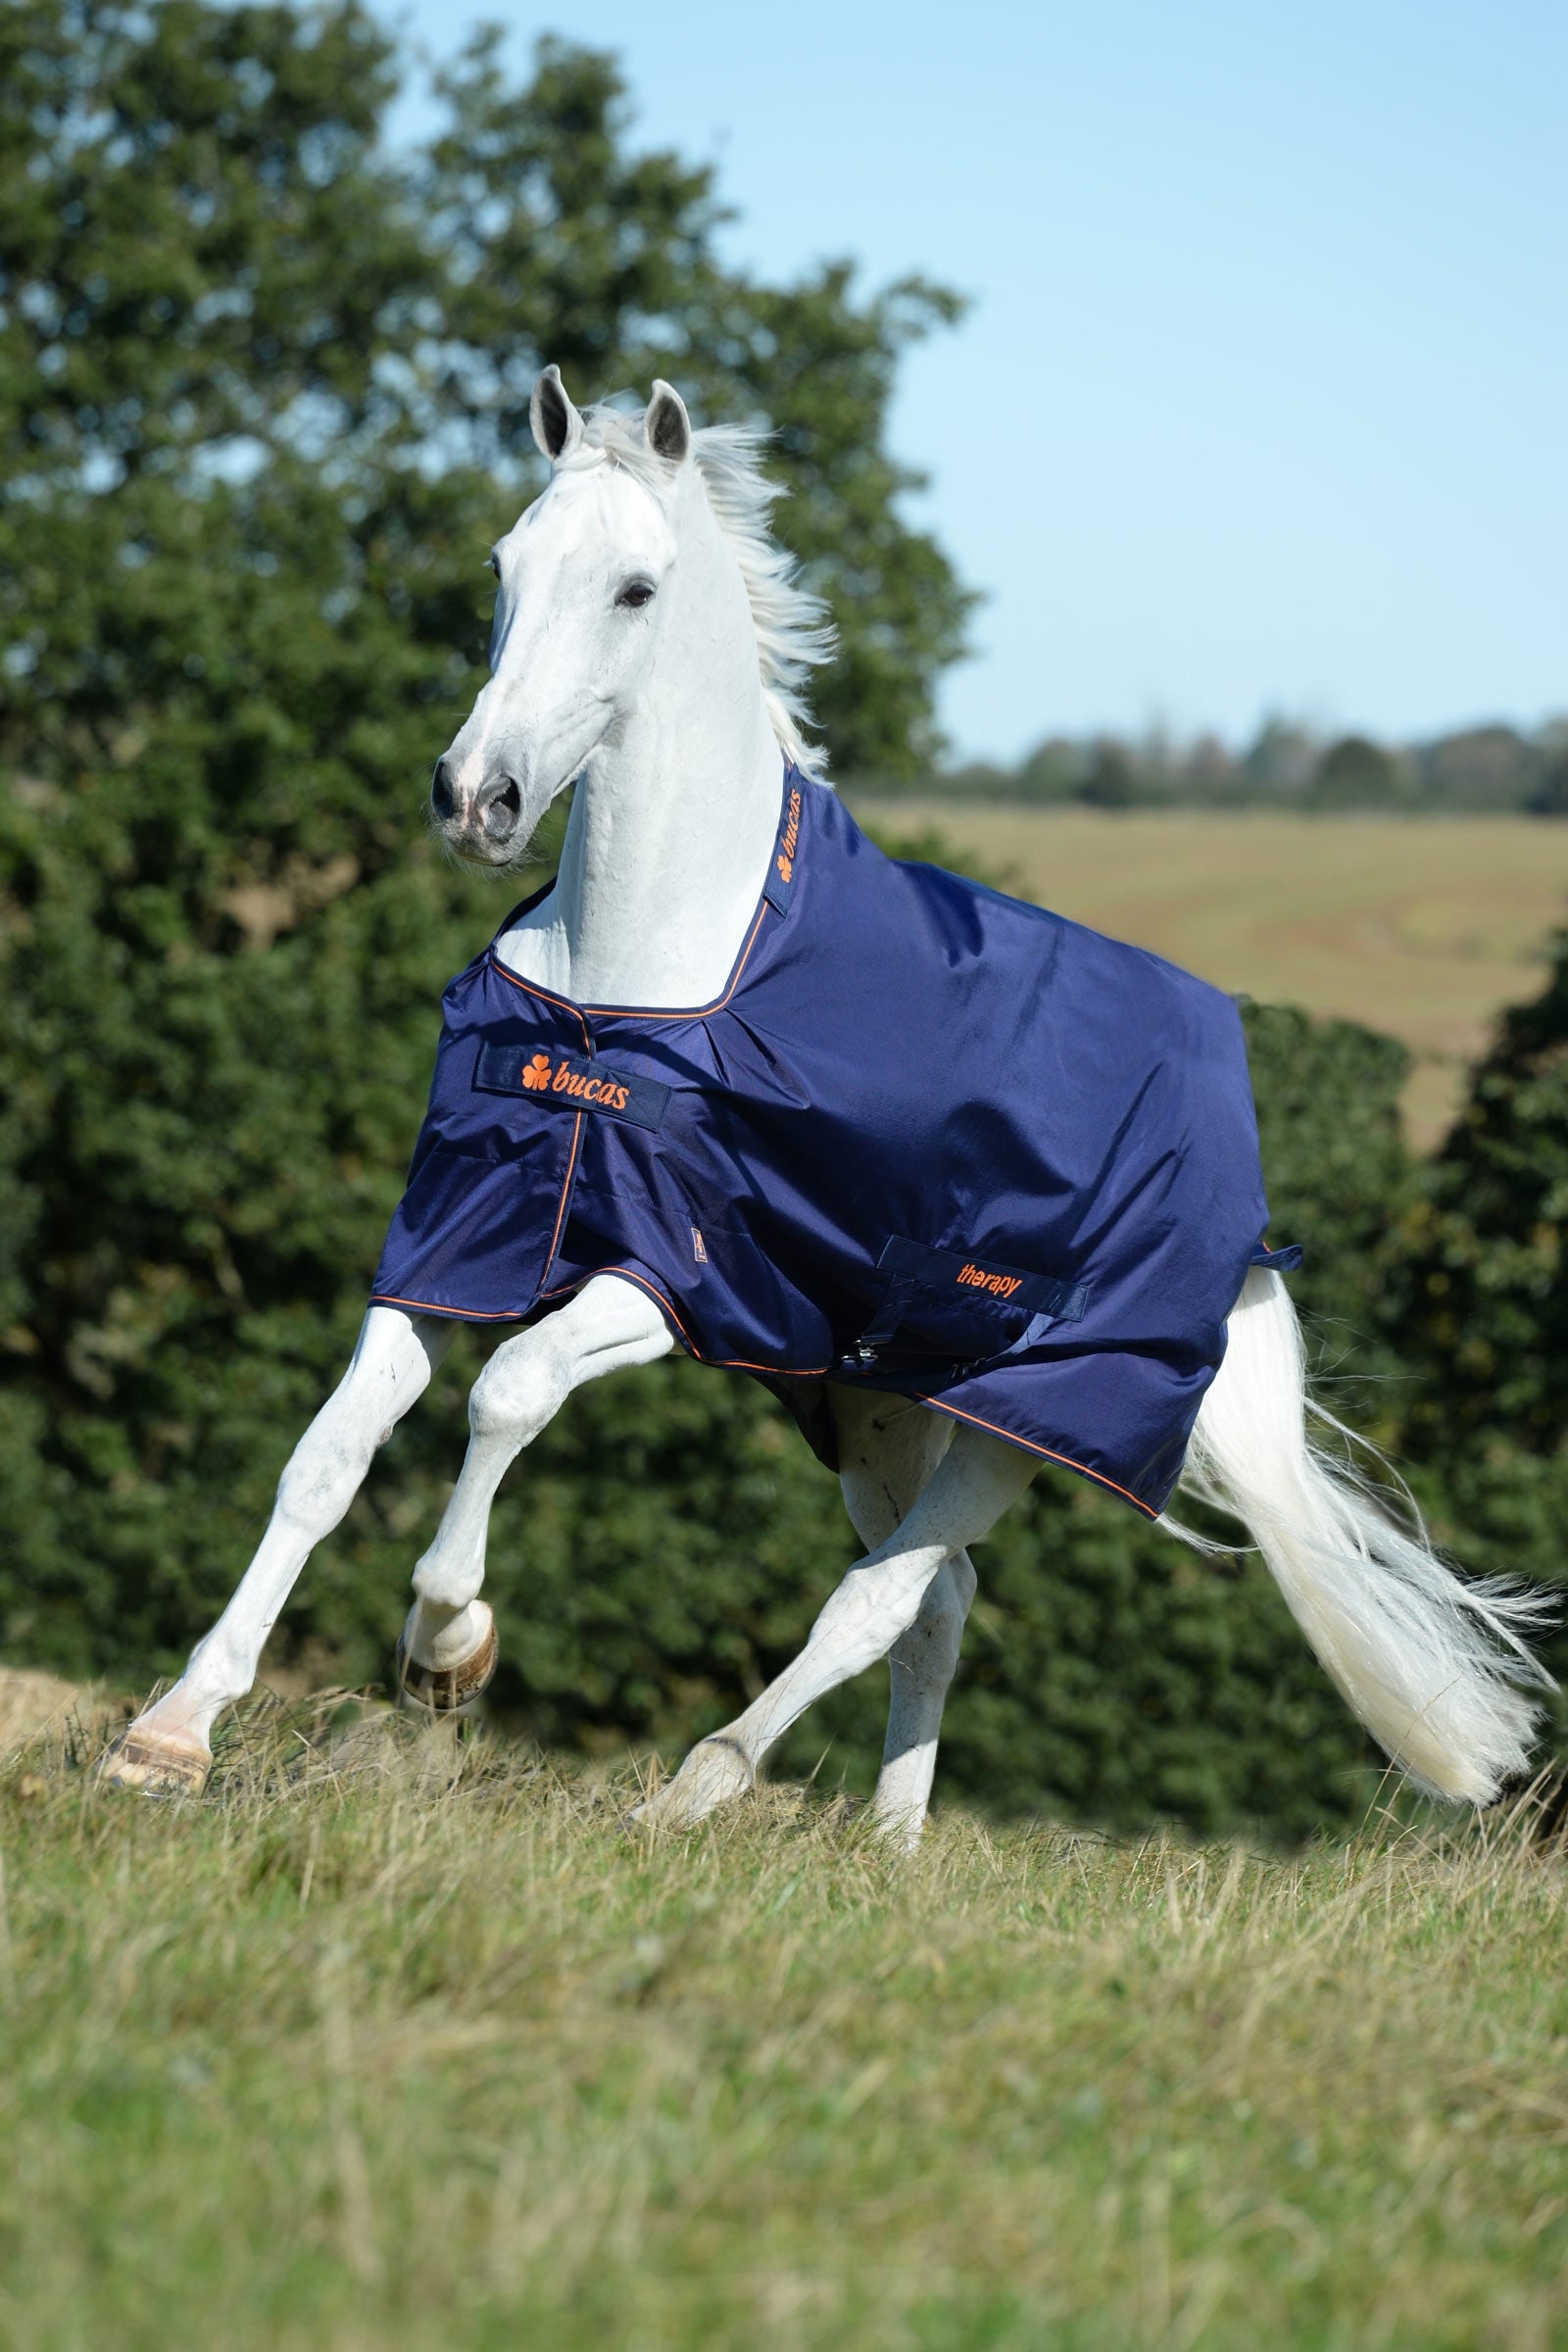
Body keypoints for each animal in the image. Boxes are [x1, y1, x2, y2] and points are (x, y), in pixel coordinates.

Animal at [104, 368, 1550, 1841]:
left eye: (634, 587)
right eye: (504, 565)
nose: (475, 799)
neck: (635, 990)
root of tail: (1245, 1208)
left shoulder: (685, 1279)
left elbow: (508, 1392)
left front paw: (449, 1651)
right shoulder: (459, 1233)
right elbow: (331, 1450)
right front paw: (172, 1733)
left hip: (1014, 1424)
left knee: (880, 1600)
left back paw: (696, 1791)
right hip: (878, 1411)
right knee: (939, 1604)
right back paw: (891, 1848)